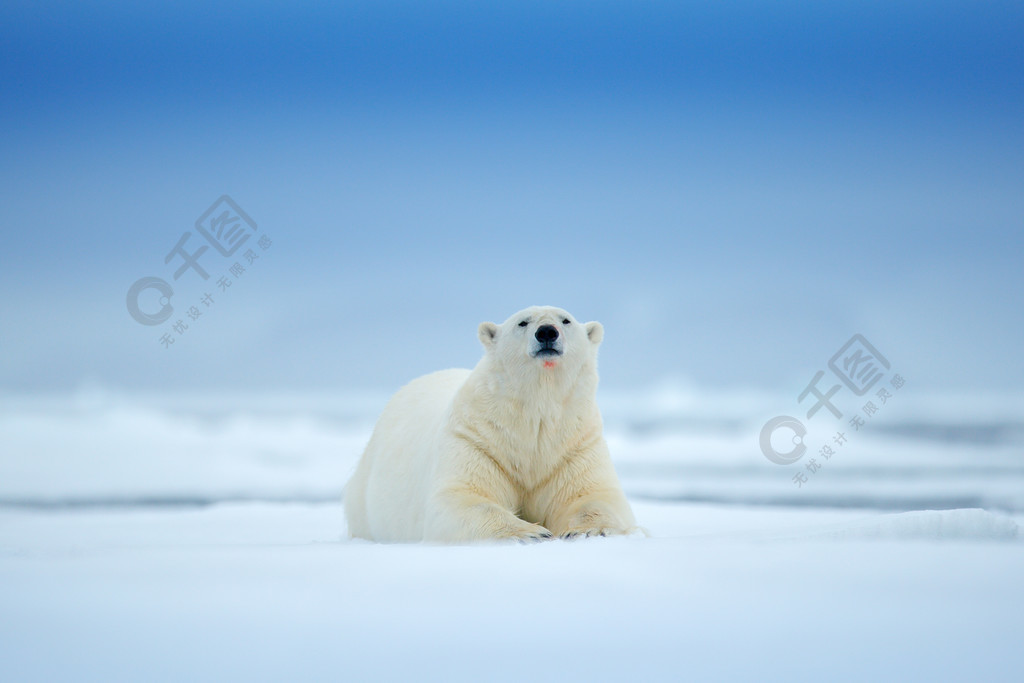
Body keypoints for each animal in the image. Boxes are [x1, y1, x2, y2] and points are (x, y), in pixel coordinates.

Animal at [344, 305, 634, 544]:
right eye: (522, 322)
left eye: (566, 320)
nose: (547, 332)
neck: (535, 417)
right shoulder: (478, 439)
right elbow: (463, 498)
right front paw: (531, 532)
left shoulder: (573, 446)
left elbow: (591, 496)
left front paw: (588, 530)